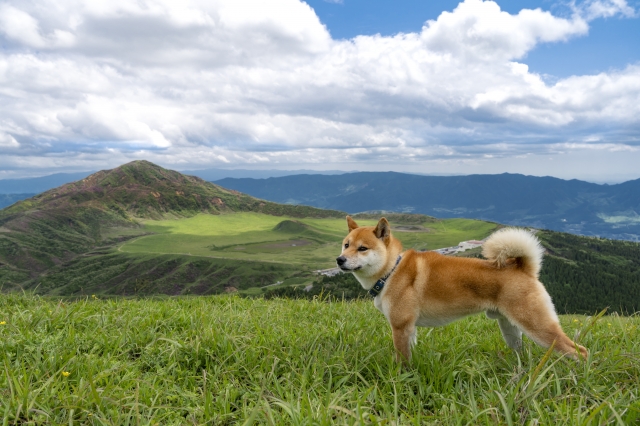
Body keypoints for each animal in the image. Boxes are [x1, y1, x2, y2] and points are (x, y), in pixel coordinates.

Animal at [338, 216, 588, 362]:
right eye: (346, 245)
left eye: (362, 248)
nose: (340, 260)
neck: (391, 270)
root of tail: (523, 268)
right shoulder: (409, 329)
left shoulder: (400, 327)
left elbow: (402, 360)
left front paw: (400, 379)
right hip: (511, 329)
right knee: (522, 352)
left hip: (537, 326)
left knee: (579, 351)